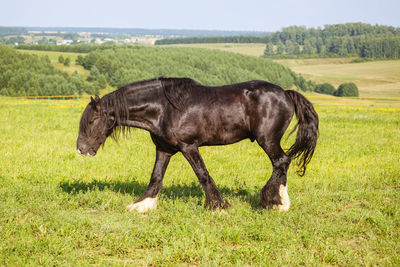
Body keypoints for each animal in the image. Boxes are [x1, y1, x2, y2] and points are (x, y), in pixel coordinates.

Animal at [76, 77, 318, 214]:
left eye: (91, 120)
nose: (81, 149)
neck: (164, 108)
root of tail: (285, 93)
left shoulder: (189, 146)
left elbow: (202, 174)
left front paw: (218, 206)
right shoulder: (164, 149)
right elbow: (156, 177)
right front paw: (141, 205)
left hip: (267, 140)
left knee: (281, 162)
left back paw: (273, 201)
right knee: (281, 164)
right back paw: (281, 202)